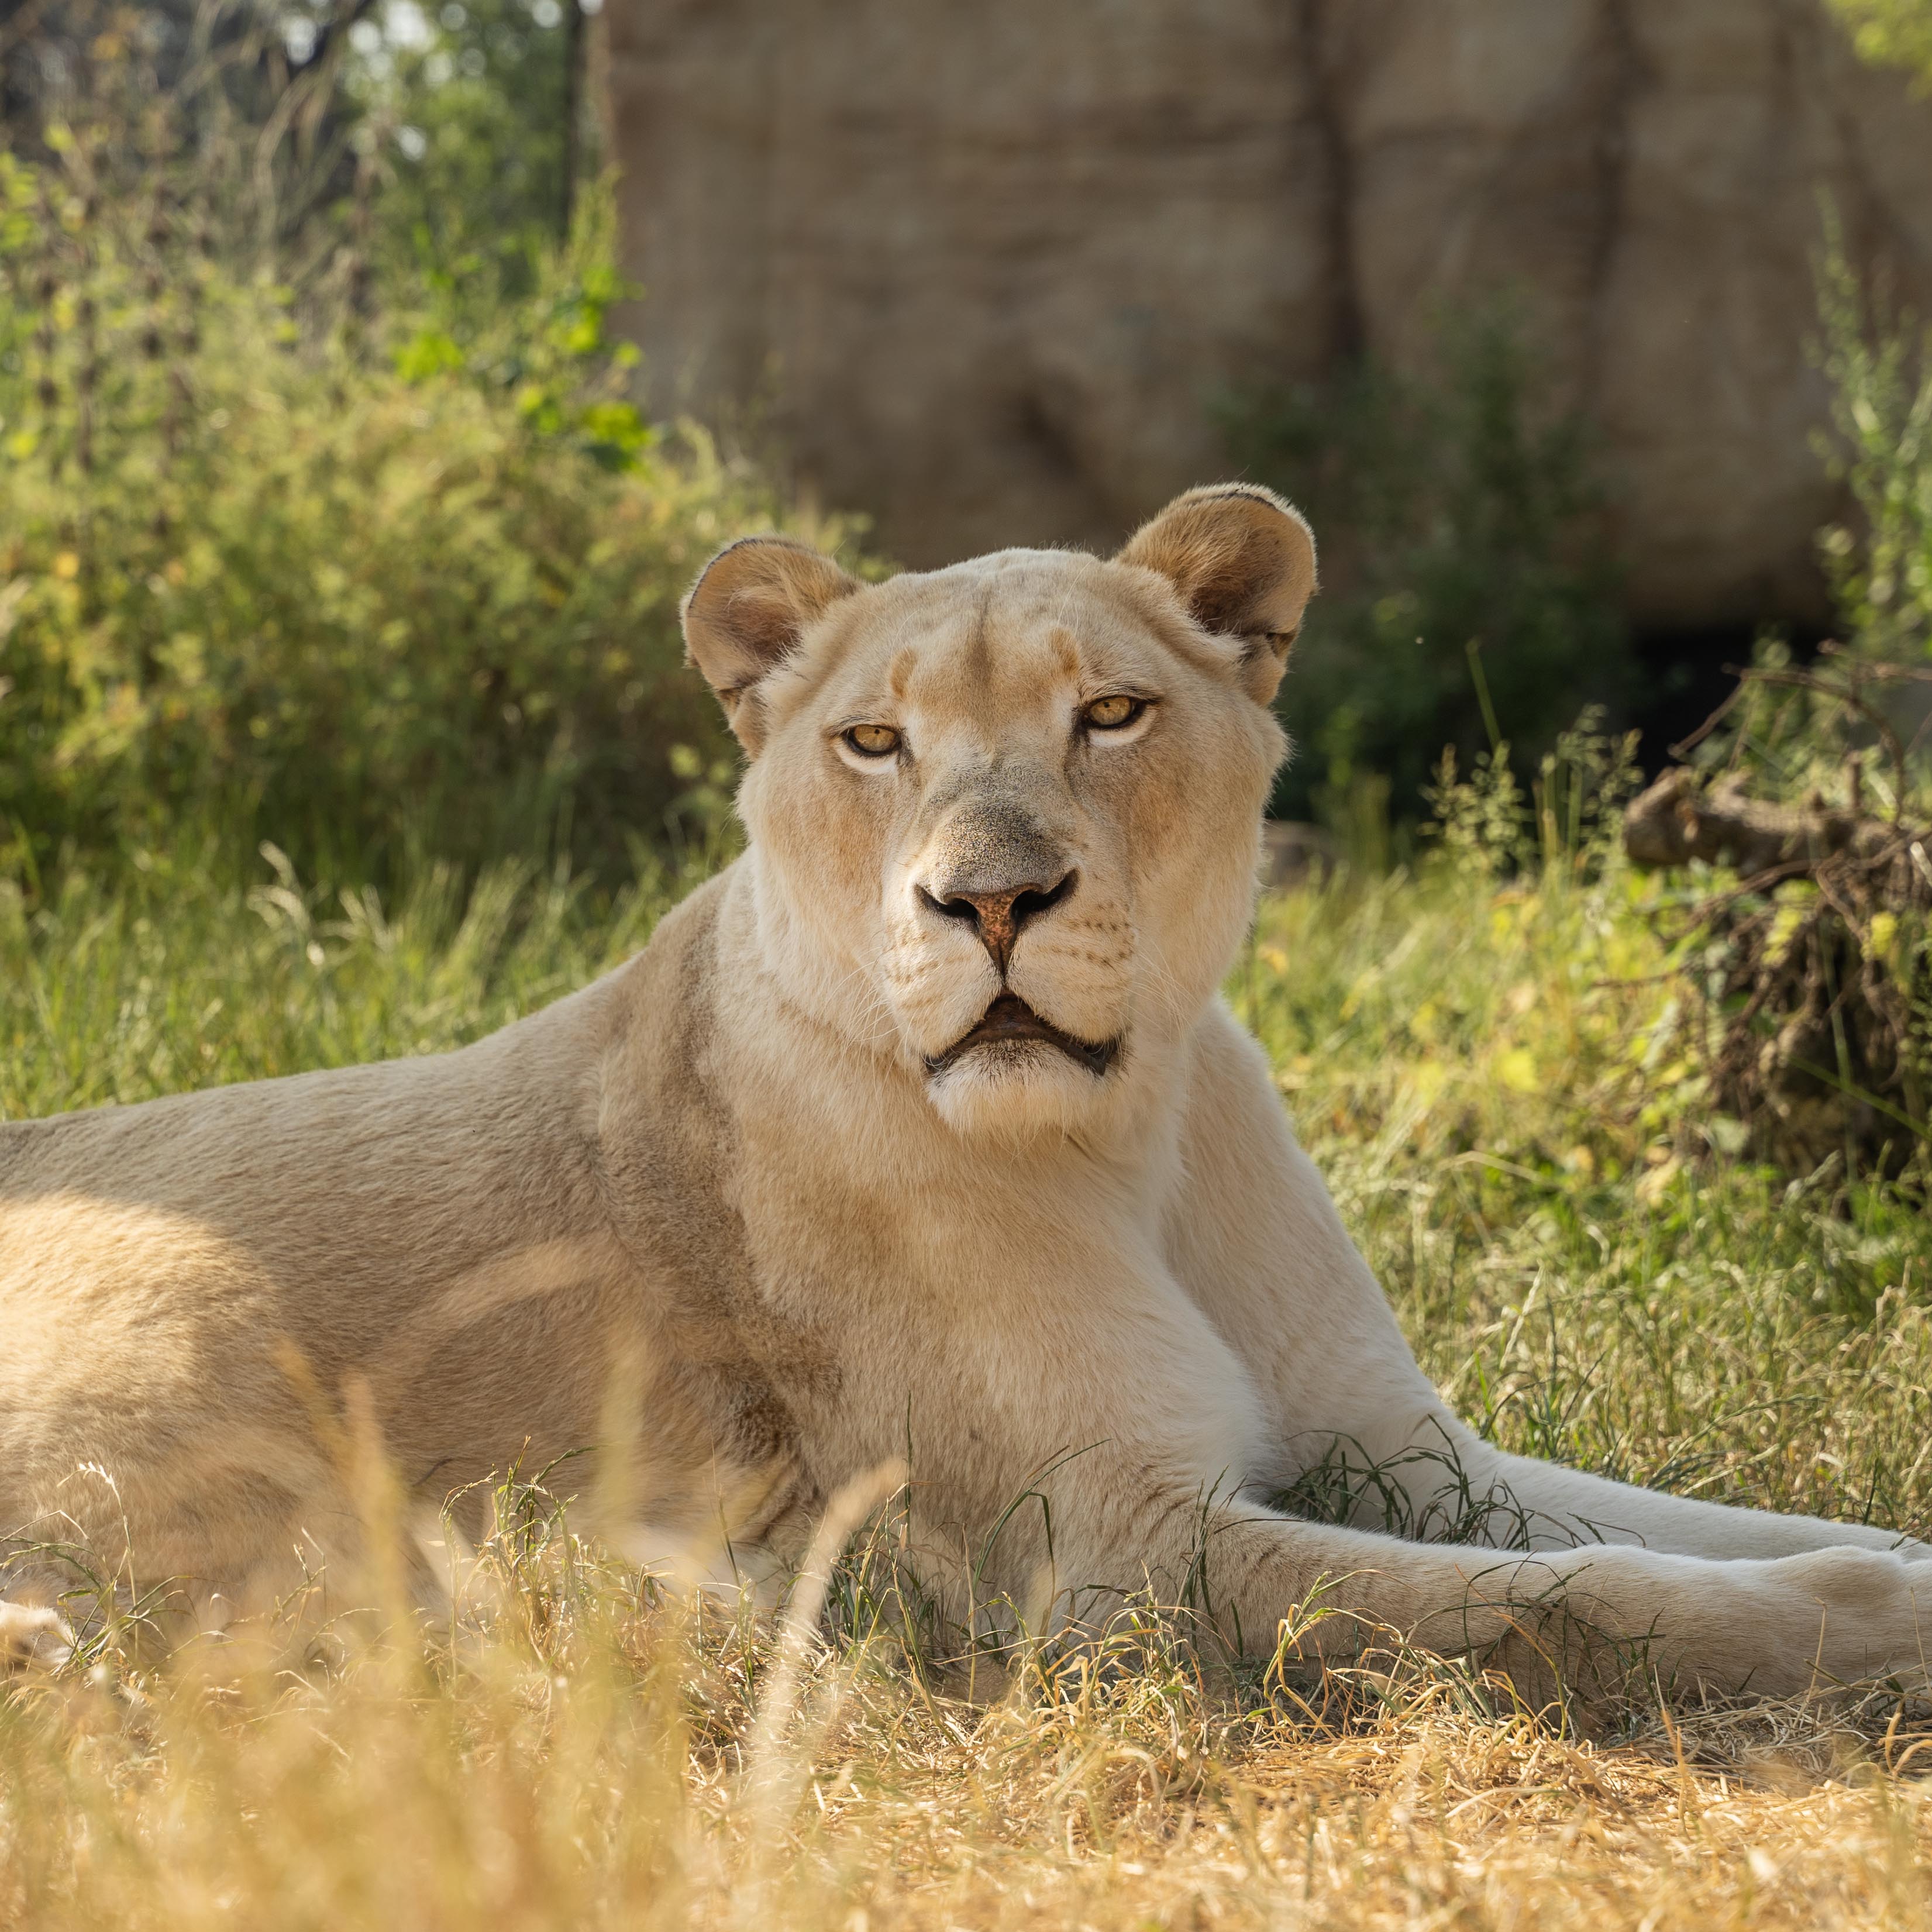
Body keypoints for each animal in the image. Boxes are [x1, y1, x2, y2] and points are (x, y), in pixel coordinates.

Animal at [2, 484, 1927, 1693]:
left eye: (1114, 714)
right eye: (876, 740)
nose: (990, 899)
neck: (1130, 1144)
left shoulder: (1402, 1445)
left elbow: (1693, 1530)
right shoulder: (1108, 1558)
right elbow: (1583, 1600)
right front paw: (1874, 1631)